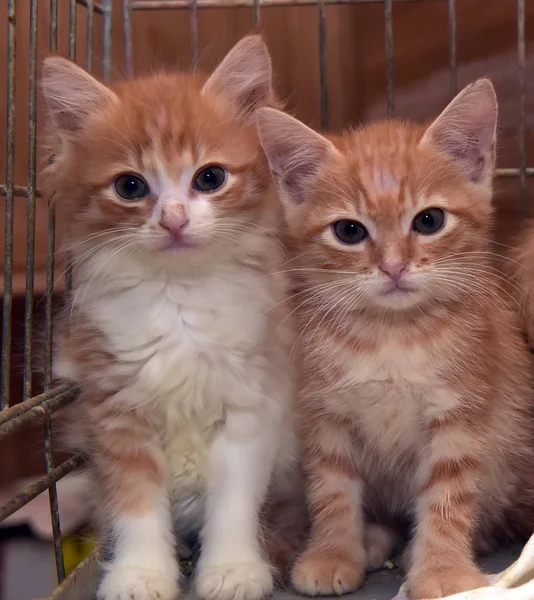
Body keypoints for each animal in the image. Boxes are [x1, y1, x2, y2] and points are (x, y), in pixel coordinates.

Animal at [43, 35, 302, 600]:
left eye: (210, 178)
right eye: (130, 187)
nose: (175, 220)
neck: (180, 301)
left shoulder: (251, 406)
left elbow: (233, 504)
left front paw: (233, 569)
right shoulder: (116, 411)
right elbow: (136, 507)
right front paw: (140, 574)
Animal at [258, 81, 534, 600]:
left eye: (429, 221)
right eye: (349, 230)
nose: (393, 267)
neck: (390, 335)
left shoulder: (460, 414)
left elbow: (448, 495)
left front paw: (442, 571)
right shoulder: (326, 414)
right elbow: (332, 489)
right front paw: (331, 553)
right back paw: (372, 538)